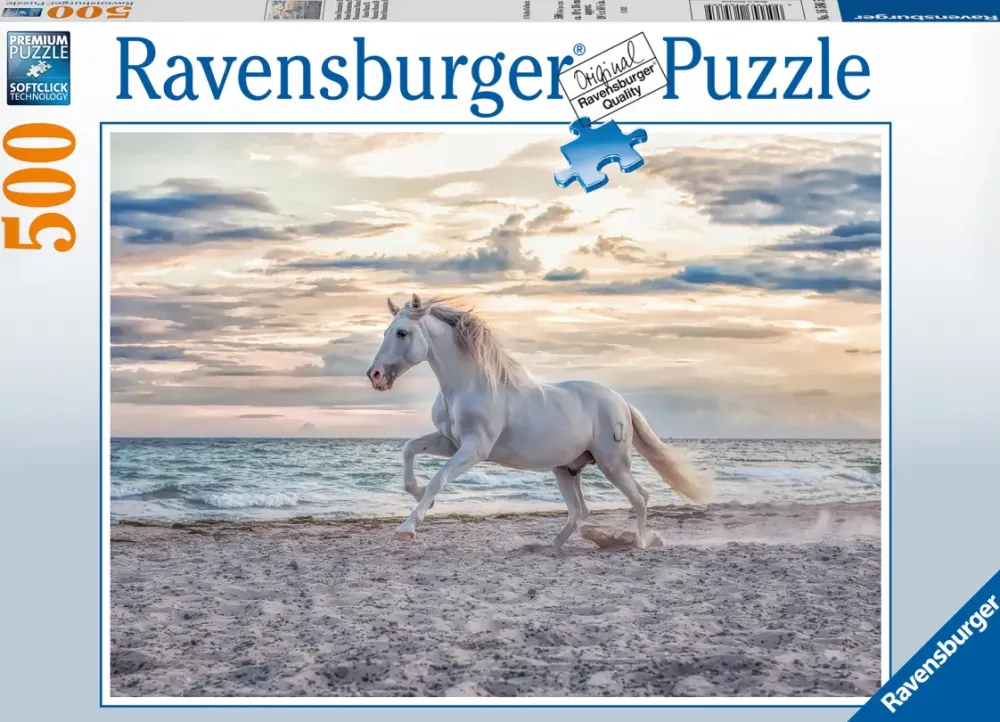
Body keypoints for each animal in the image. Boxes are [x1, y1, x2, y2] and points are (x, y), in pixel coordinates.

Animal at [365, 294, 712, 549]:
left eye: (402, 332)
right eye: (384, 332)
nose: (375, 376)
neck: (469, 385)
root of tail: (621, 403)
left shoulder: (474, 449)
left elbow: (439, 478)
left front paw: (408, 527)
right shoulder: (450, 442)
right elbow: (409, 450)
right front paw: (420, 497)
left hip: (612, 464)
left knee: (639, 497)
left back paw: (639, 543)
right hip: (566, 469)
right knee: (579, 511)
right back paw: (549, 546)